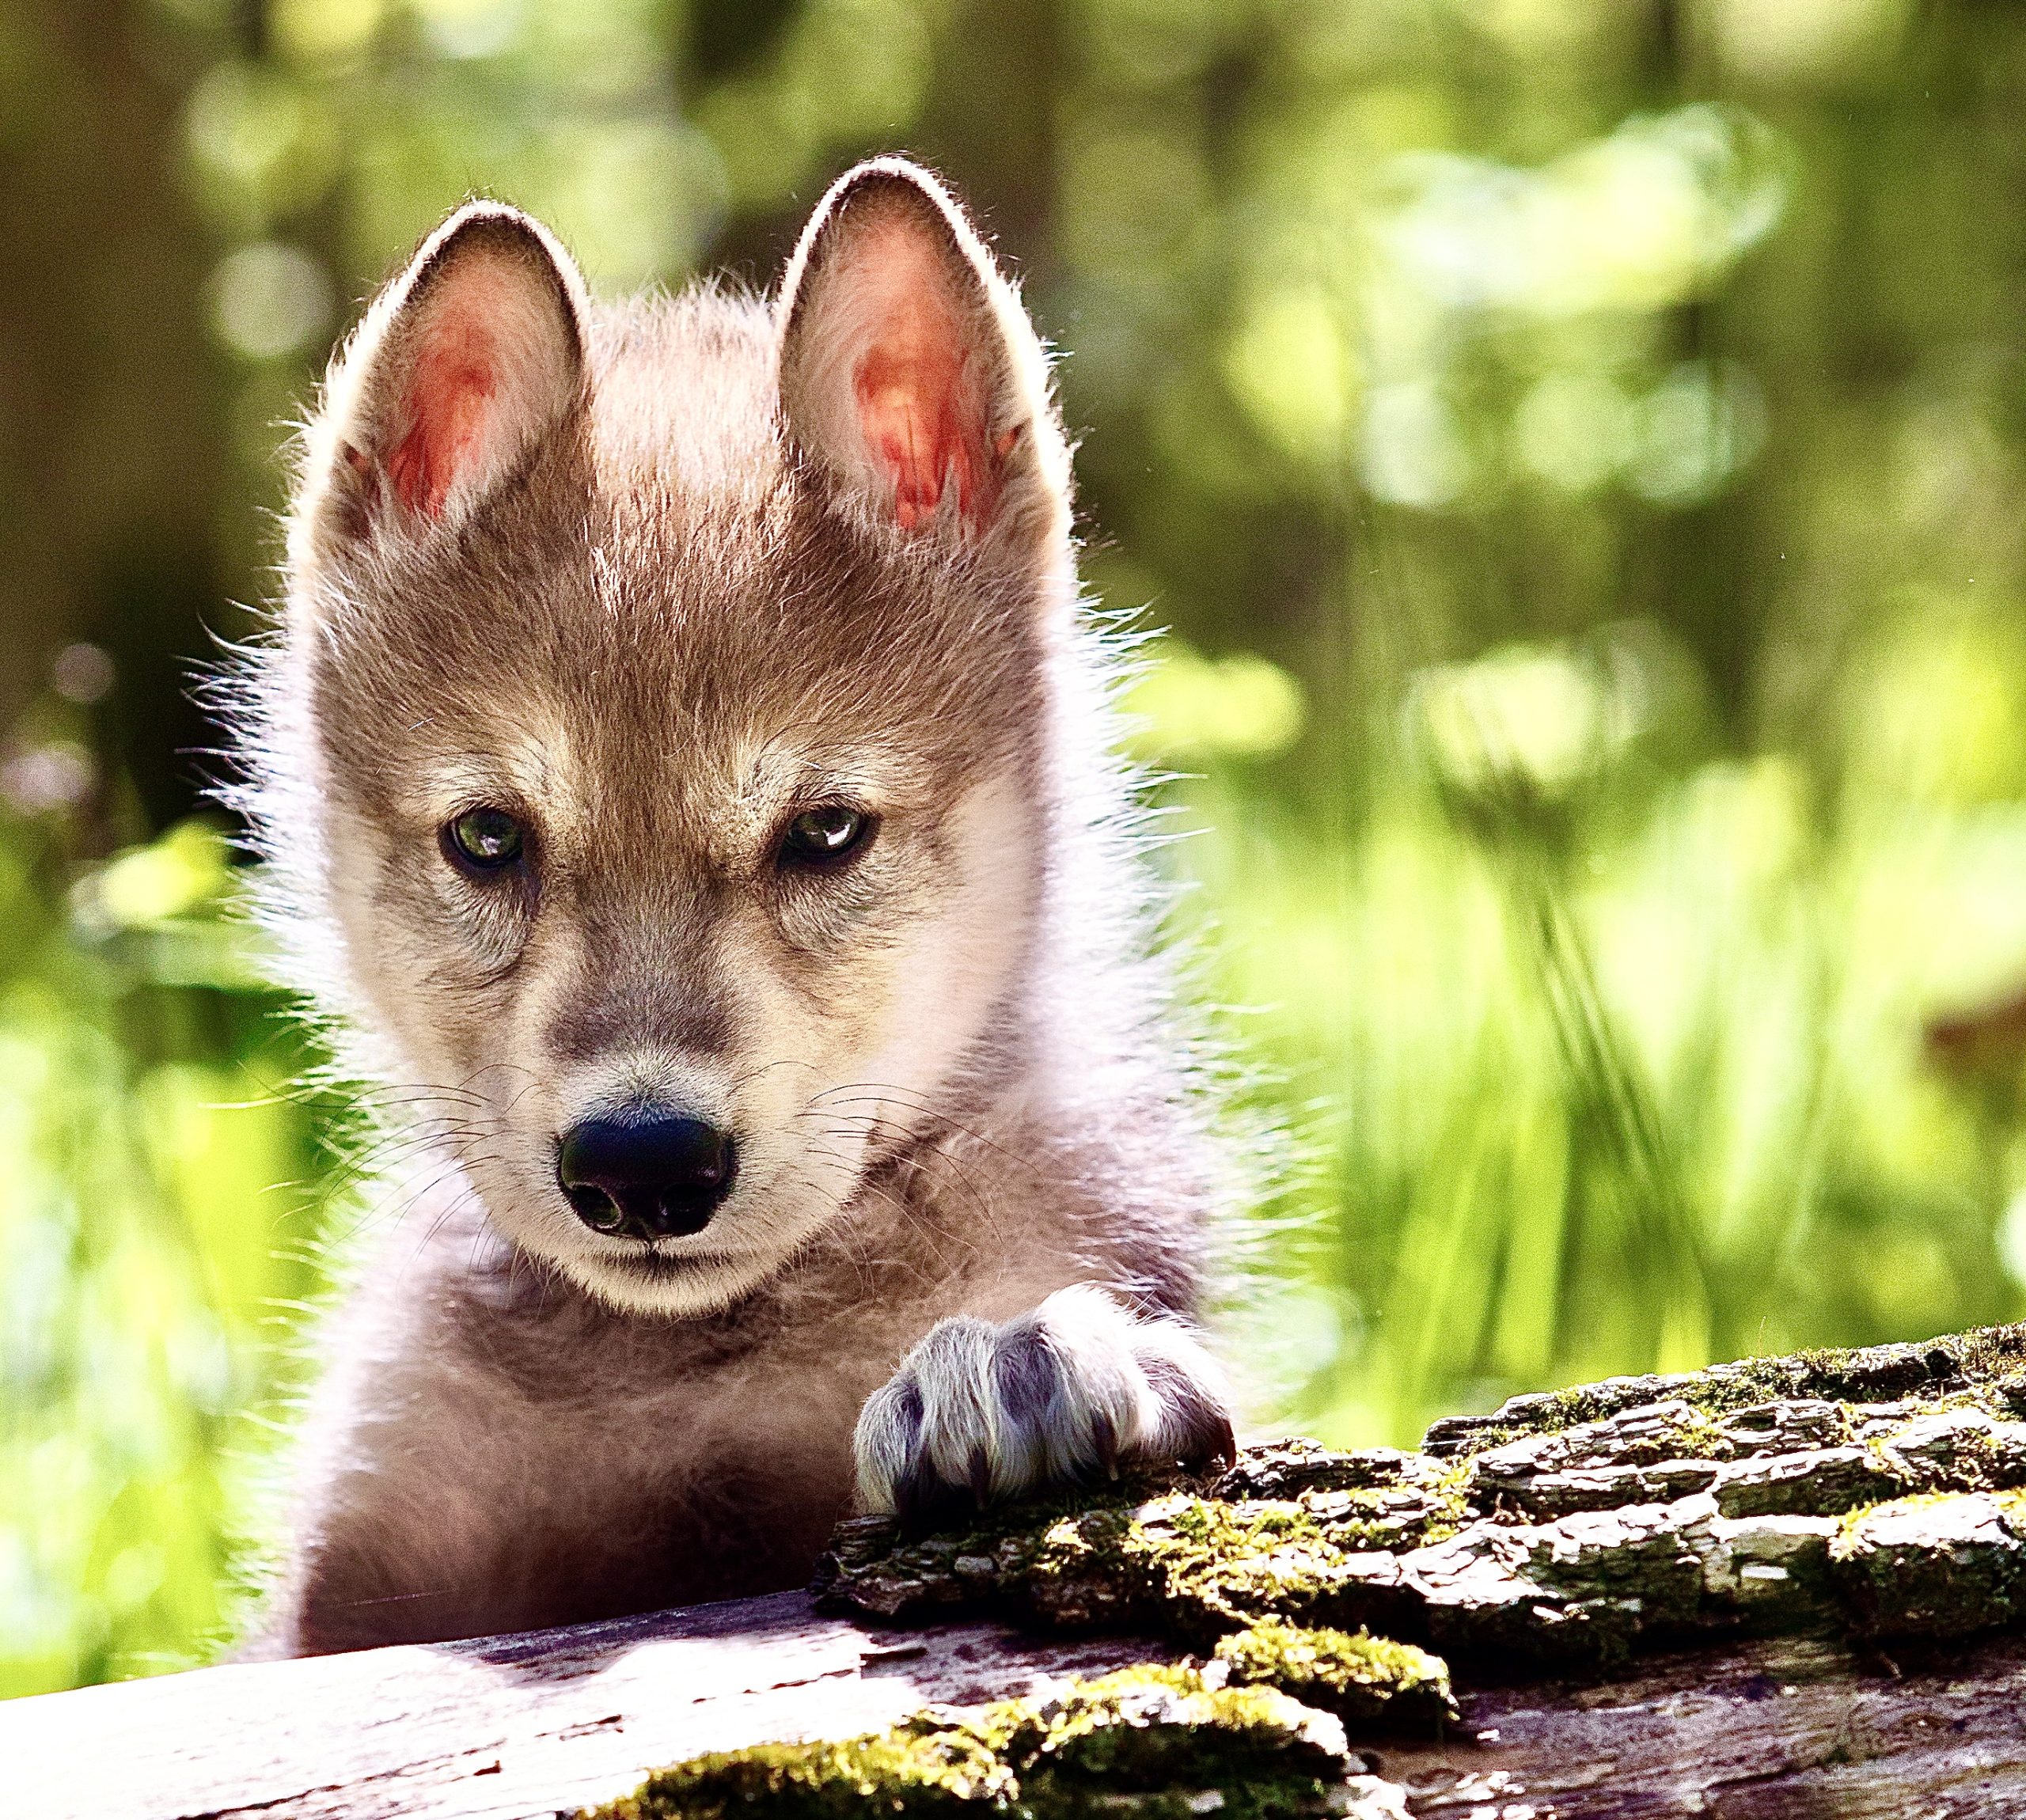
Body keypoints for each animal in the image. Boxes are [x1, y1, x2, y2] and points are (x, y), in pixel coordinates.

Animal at [233, 157, 1240, 1656]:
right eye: (488, 837)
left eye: (824, 831)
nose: (644, 1167)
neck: (692, 1377)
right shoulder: (351, 1589)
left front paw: (1027, 1369)